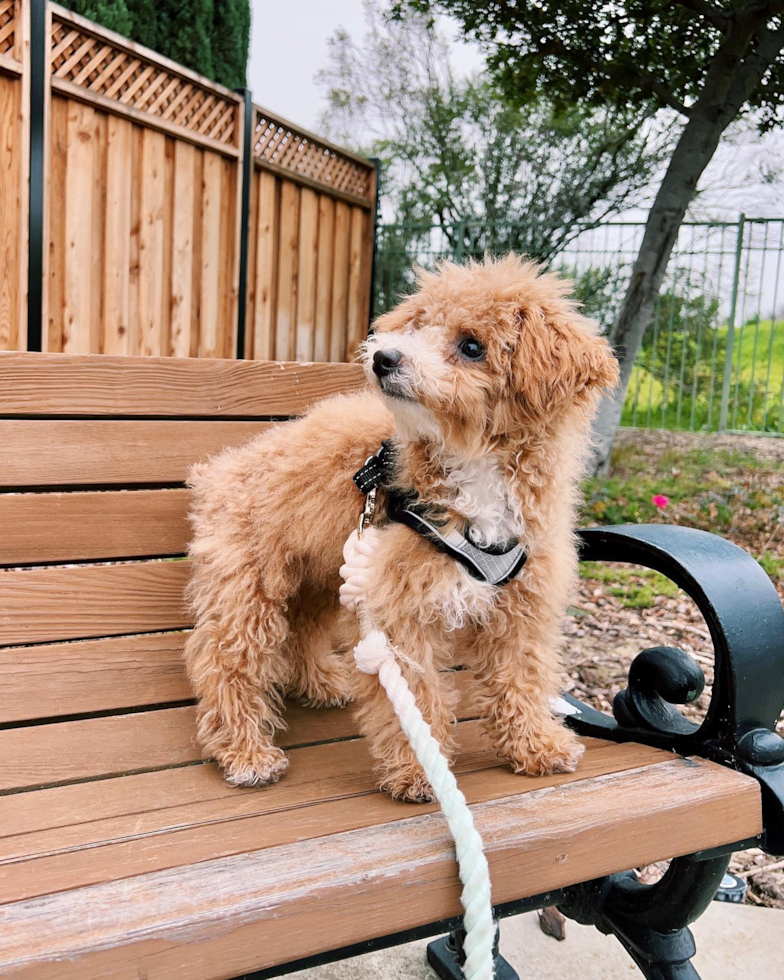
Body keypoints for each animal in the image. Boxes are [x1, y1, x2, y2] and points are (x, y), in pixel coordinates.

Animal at [184, 256, 620, 800]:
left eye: (471, 345)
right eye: (418, 326)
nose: (383, 357)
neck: (474, 471)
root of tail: (221, 467)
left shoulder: (520, 608)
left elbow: (522, 676)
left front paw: (536, 744)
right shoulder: (400, 610)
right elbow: (416, 701)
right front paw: (420, 770)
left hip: (325, 575)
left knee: (304, 630)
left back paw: (321, 683)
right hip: (248, 590)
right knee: (228, 664)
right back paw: (246, 753)